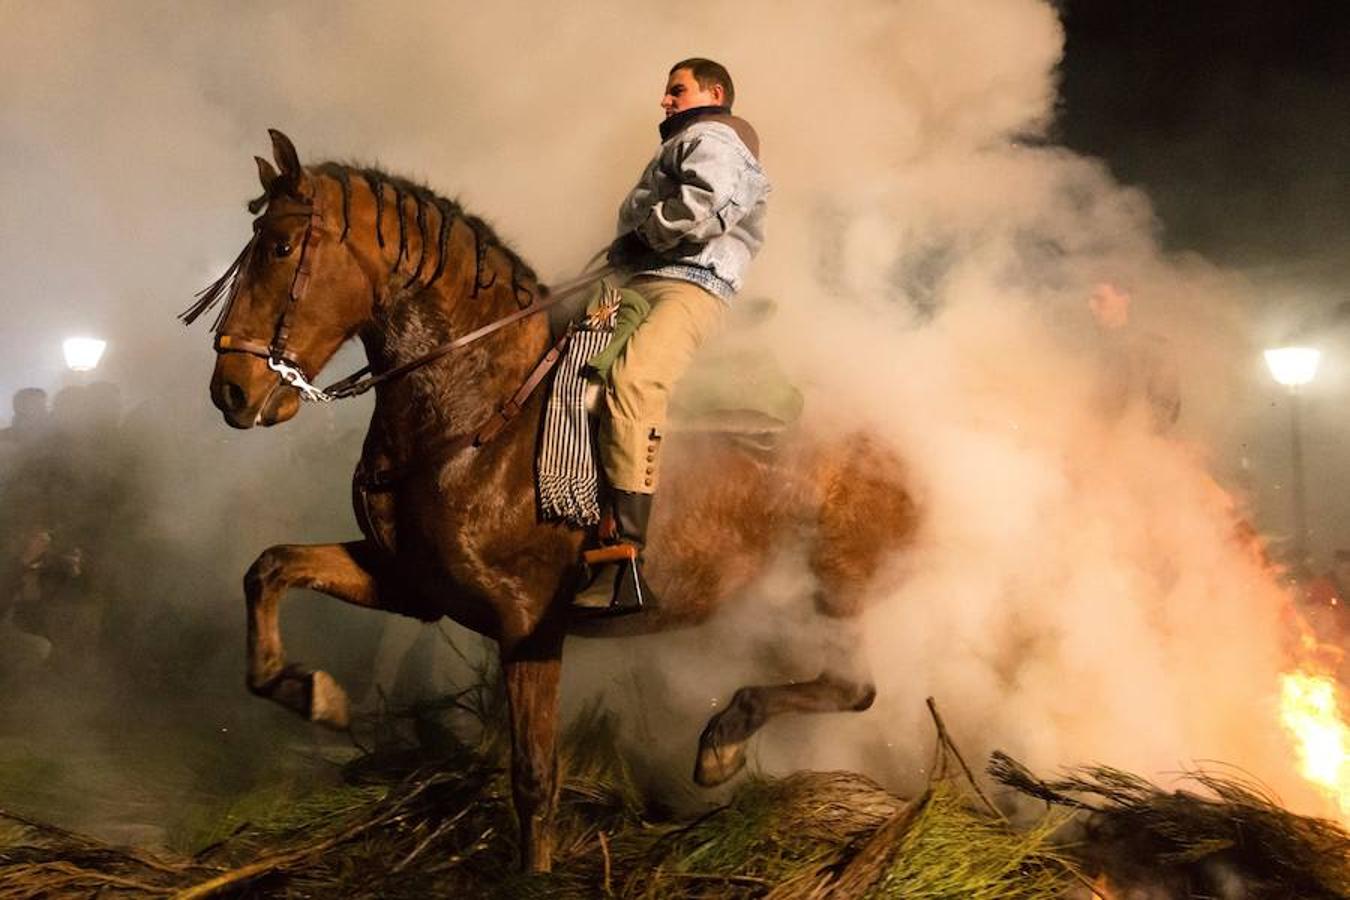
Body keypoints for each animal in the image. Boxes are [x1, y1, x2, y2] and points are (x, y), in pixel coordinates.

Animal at [193, 130, 918, 868]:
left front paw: (532, 873)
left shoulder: (529, 624)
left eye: (281, 247)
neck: (475, 412)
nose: (232, 390)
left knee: (853, 687)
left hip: (835, 591)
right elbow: (271, 567)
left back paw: (722, 739)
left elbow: (535, 778)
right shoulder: (409, 583)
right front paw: (311, 692)